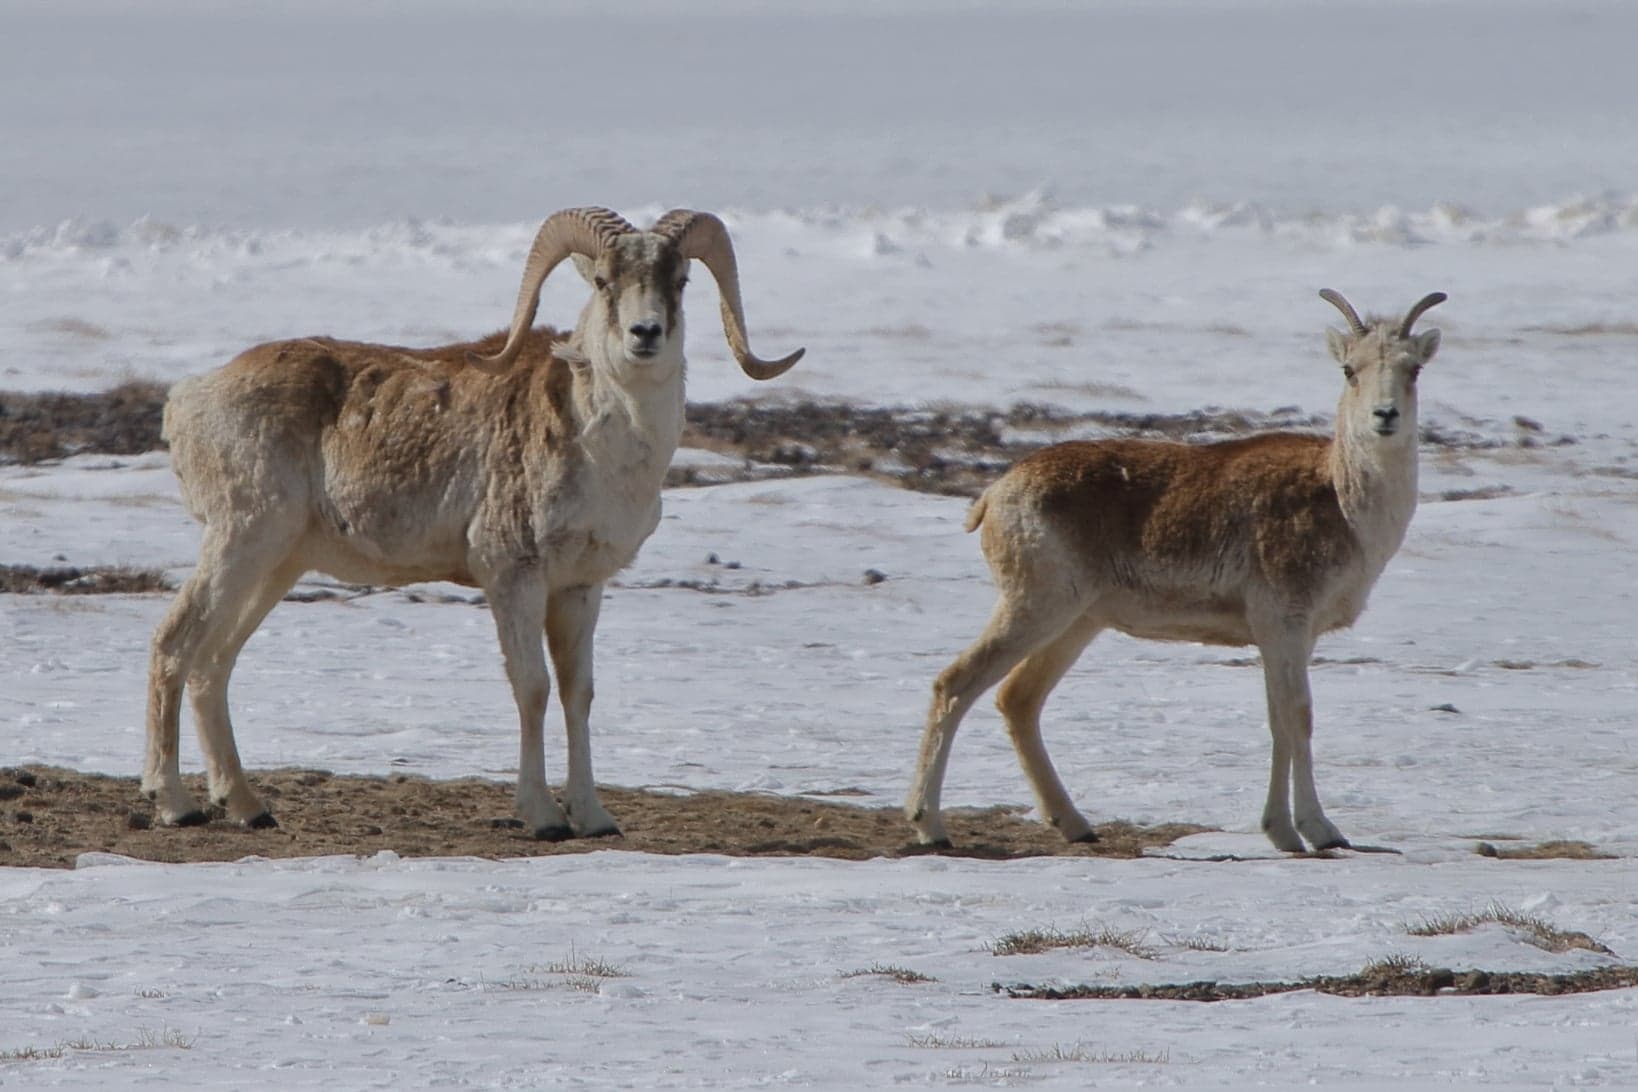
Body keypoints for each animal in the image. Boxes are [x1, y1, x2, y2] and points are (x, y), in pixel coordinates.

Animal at [143, 206, 803, 839]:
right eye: (602, 279)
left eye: (680, 280)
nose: (646, 334)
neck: (606, 449)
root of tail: (188, 399)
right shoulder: (513, 578)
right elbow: (533, 689)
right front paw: (543, 819)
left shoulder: (580, 588)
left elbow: (578, 693)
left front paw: (594, 818)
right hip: (242, 542)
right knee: (175, 646)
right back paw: (175, 806)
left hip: (277, 565)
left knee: (214, 665)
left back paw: (248, 809)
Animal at [905, 289, 1446, 853]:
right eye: (1349, 369)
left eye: (1413, 368)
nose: (1384, 416)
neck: (1343, 501)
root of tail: (994, 496)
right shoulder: (1283, 626)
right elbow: (1297, 718)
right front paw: (1319, 833)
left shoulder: (1288, 637)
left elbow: (1279, 720)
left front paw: (1284, 833)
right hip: (1034, 610)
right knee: (954, 685)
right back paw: (931, 828)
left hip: (1076, 625)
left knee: (1017, 700)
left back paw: (1076, 825)